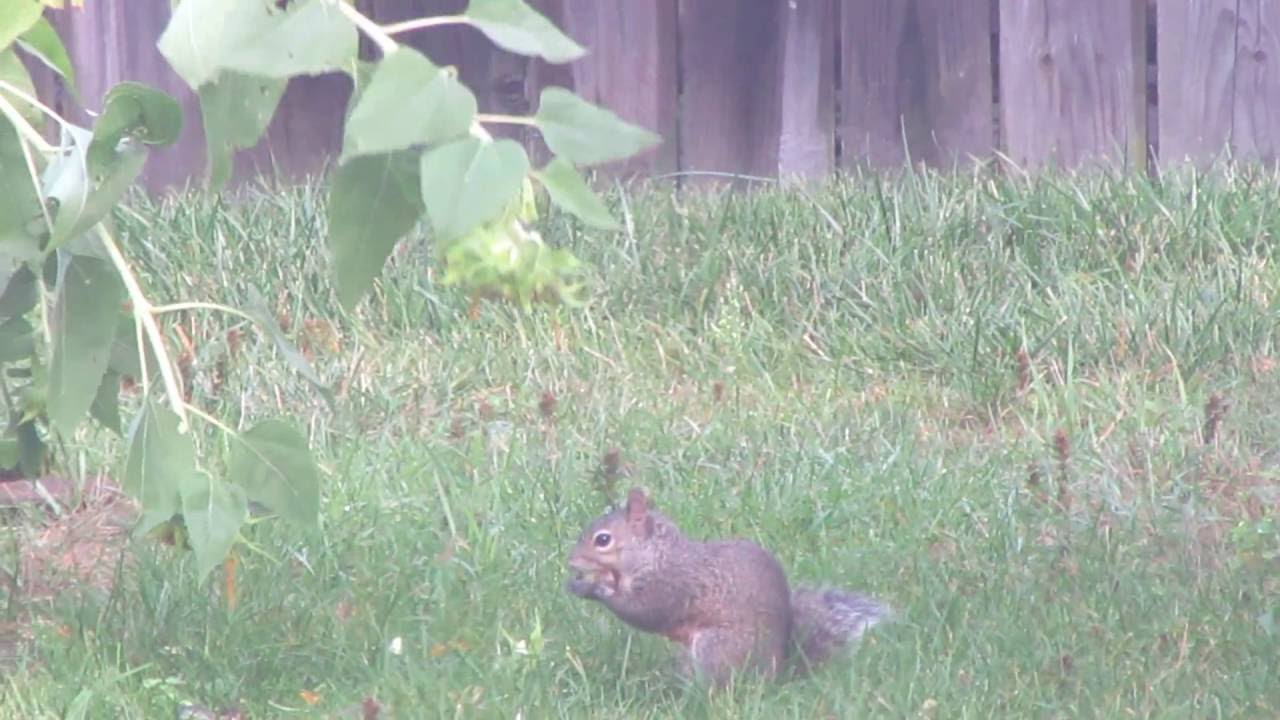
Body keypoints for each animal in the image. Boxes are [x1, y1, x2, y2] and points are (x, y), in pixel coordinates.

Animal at [565, 487, 890, 684]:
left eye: (603, 540)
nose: (571, 562)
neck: (656, 553)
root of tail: (778, 672)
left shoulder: (671, 585)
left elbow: (644, 612)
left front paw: (592, 589)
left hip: (716, 647)